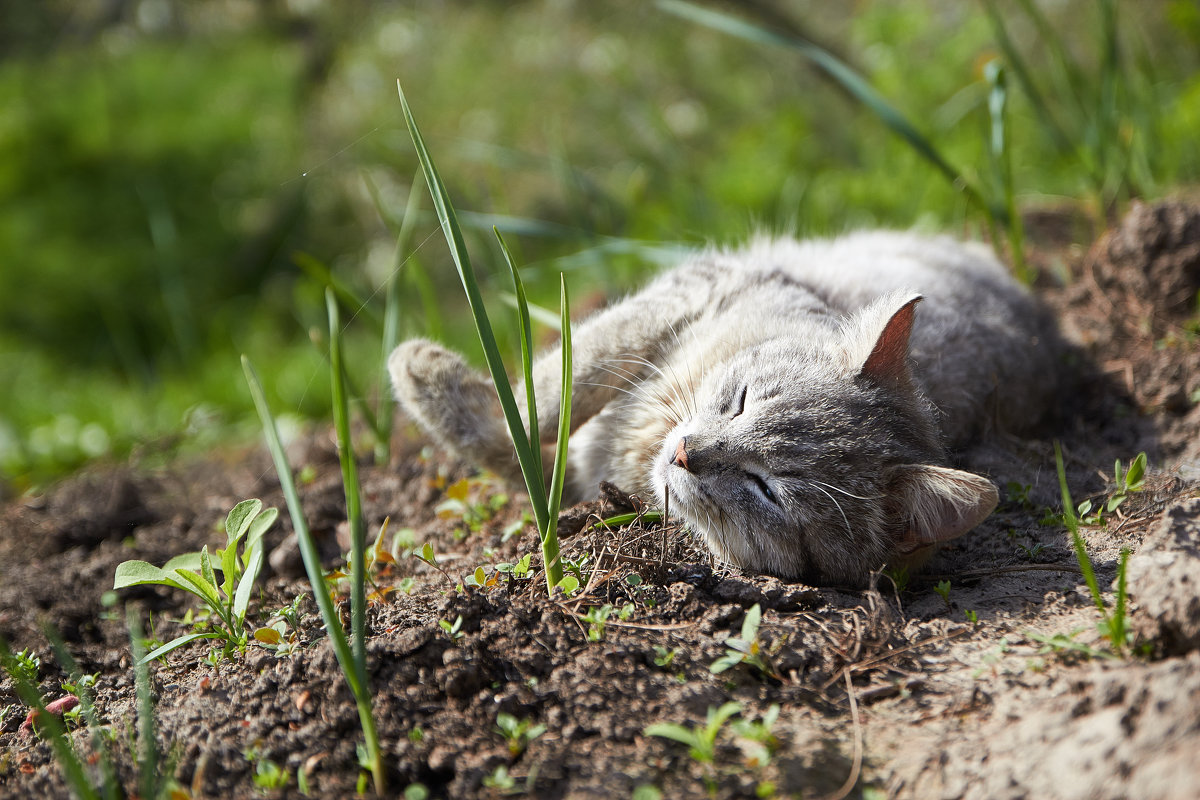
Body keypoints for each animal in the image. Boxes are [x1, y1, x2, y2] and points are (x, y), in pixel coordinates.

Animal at [391, 227, 1060, 585]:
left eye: (768, 491)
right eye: (741, 403)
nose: (688, 453)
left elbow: (531, 432)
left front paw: (425, 377)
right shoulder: (697, 290)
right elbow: (562, 386)